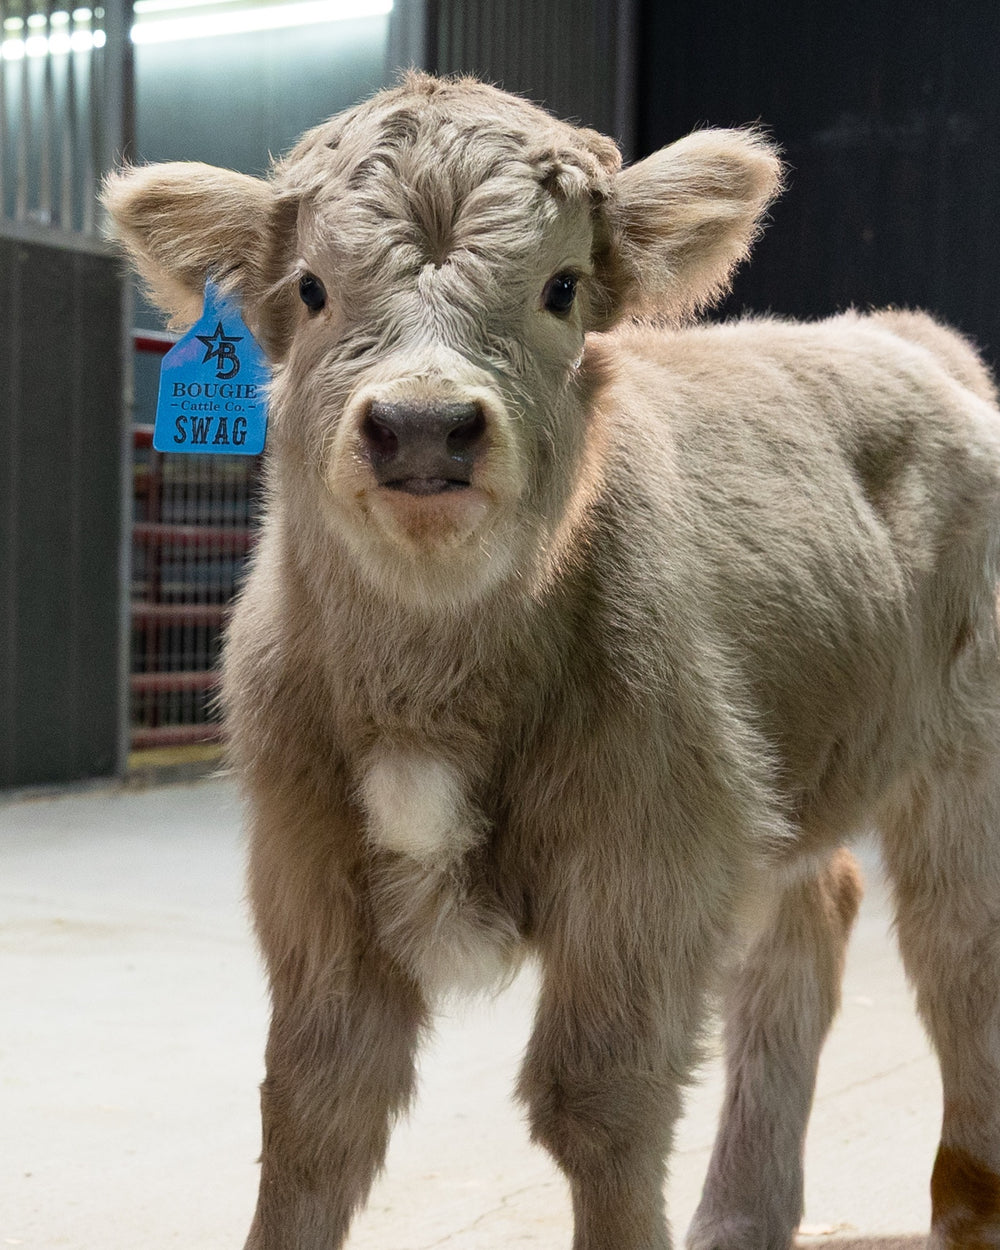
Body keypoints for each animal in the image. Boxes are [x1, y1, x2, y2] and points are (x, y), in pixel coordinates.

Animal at [103, 72, 1000, 1250]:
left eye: (562, 285)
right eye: (310, 287)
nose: (424, 425)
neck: (431, 683)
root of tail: (906, 338)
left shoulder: (647, 863)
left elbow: (598, 1102)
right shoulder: (306, 864)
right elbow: (314, 1108)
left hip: (964, 765)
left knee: (960, 957)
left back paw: (966, 1203)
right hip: (788, 781)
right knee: (808, 929)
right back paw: (740, 1213)